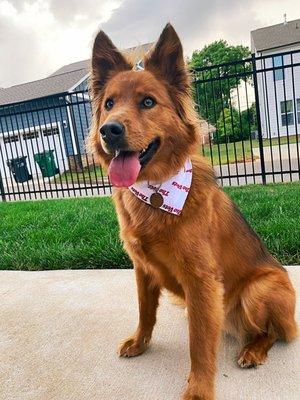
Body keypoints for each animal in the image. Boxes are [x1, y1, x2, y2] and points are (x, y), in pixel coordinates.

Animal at [88, 22, 296, 400]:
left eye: (148, 102)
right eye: (109, 103)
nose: (109, 130)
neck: (157, 193)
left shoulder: (201, 281)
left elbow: (199, 342)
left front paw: (199, 388)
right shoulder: (143, 269)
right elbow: (145, 313)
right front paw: (140, 343)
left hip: (259, 290)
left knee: (272, 332)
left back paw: (253, 350)